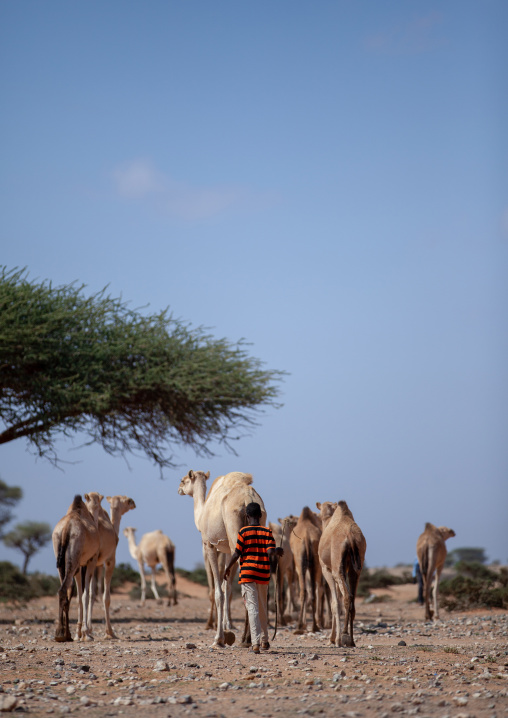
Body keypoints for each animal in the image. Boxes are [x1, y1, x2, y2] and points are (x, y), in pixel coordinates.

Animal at [52, 493, 103, 642]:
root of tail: (66, 529)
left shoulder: (79, 565)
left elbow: (78, 595)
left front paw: (79, 633)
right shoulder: (91, 560)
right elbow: (85, 595)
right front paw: (86, 633)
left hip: (62, 558)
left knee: (64, 589)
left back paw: (64, 633)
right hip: (74, 557)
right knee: (64, 589)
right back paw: (61, 633)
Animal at [84, 494, 136, 639]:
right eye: (126, 500)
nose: (133, 502)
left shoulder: (97, 564)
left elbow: (92, 594)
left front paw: (90, 629)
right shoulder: (109, 560)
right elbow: (105, 597)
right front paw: (109, 632)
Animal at [178, 469, 267, 647]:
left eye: (183, 480)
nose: (179, 489)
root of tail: (248, 498)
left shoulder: (209, 545)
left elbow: (219, 592)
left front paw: (218, 638)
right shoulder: (225, 550)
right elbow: (227, 588)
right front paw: (227, 629)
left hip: (234, 532)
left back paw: (247, 639)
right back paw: (254, 639)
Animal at [317, 500, 366, 648]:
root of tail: (350, 536)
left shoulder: (326, 569)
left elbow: (334, 603)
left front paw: (333, 639)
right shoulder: (347, 569)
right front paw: (334, 638)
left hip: (337, 568)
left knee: (346, 597)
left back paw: (343, 636)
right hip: (356, 568)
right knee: (352, 599)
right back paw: (352, 640)